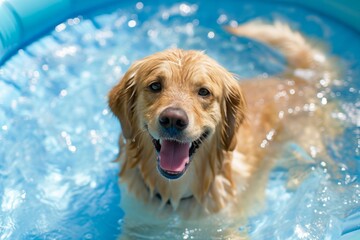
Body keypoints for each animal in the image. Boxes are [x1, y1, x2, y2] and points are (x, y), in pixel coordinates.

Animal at [108, 21, 338, 239]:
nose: (173, 119)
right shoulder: (137, 223)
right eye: (155, 86)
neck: (176, 195)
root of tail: (295, 80)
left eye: (204, 92)